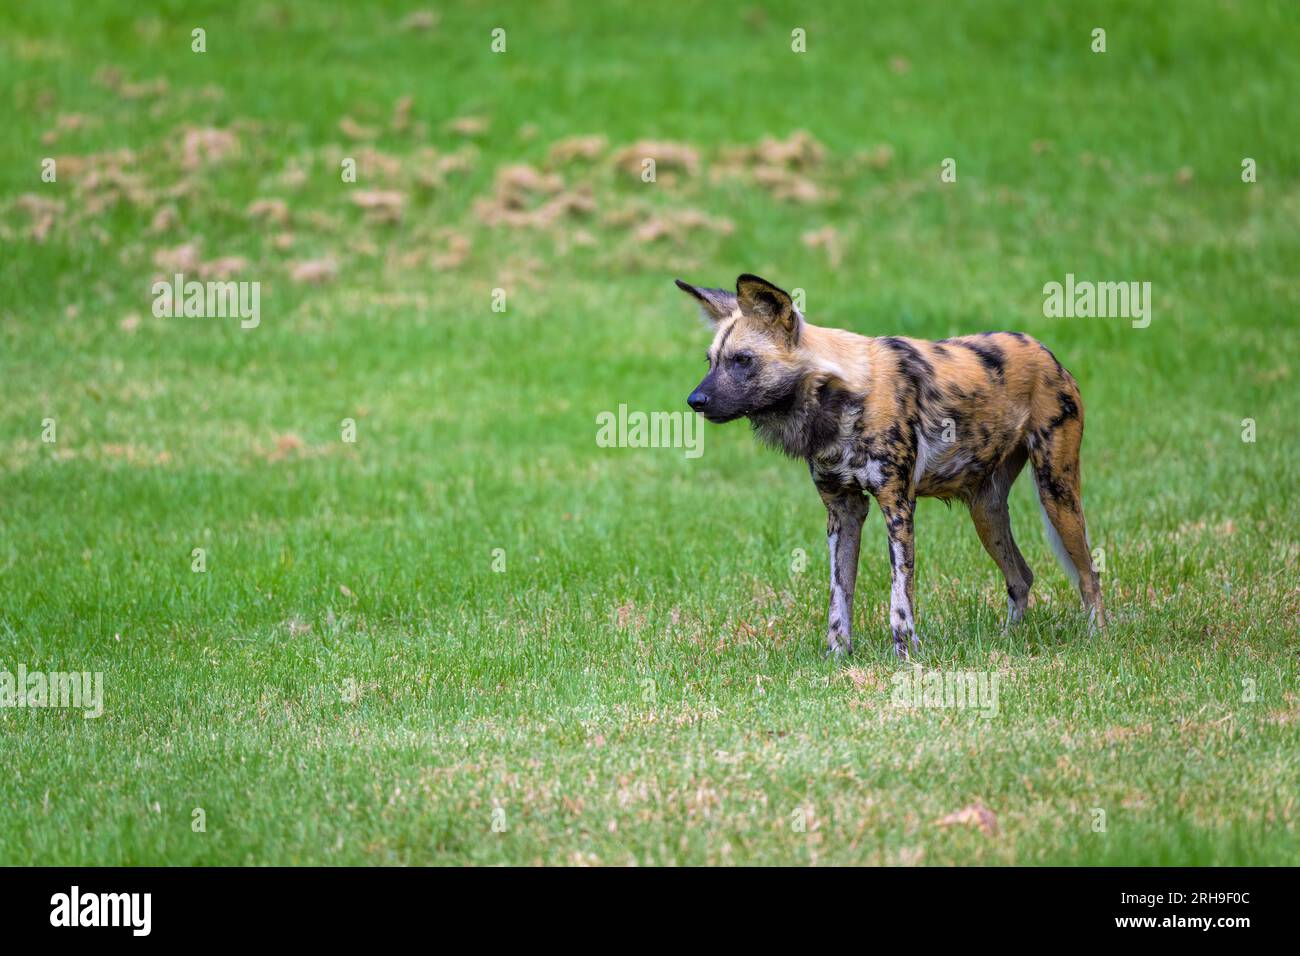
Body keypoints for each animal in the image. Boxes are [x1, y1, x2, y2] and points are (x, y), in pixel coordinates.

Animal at [681, 269, 1107, 658]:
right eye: (710, 361)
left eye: (742, 360)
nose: (694, 400)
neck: (841, 400)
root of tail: (1044, 350)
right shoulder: (843, 512)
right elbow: (839, 595)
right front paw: (837, 656)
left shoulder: (898, 506)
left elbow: (900, 594)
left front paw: (906, 654)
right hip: (986, 511)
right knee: (1021, 577)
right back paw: (1007, 640)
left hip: (1057, 492)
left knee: (1089, 575)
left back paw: (1097, 639)